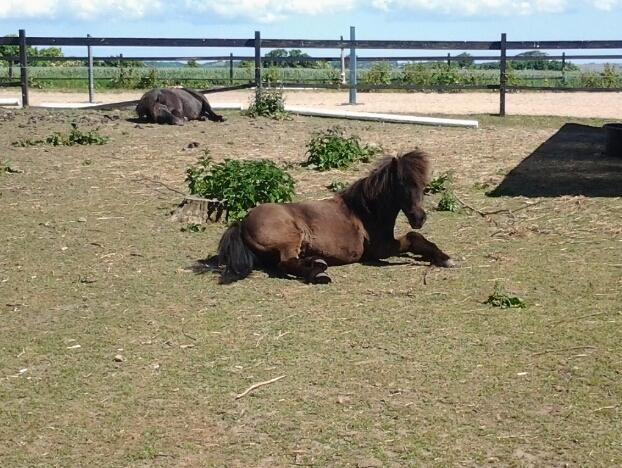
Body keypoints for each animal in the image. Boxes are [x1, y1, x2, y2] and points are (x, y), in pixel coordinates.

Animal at [217, 150, 456, 284]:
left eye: (423, 185)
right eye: (401, 184)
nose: (419, 218)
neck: (365, 211)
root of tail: (242, 223)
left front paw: (441, 257)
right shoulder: (381, 249)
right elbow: (414, 238)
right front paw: (444, 258)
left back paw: (316, 263)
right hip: (290, 238)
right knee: (285, 263)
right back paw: (319, 274)